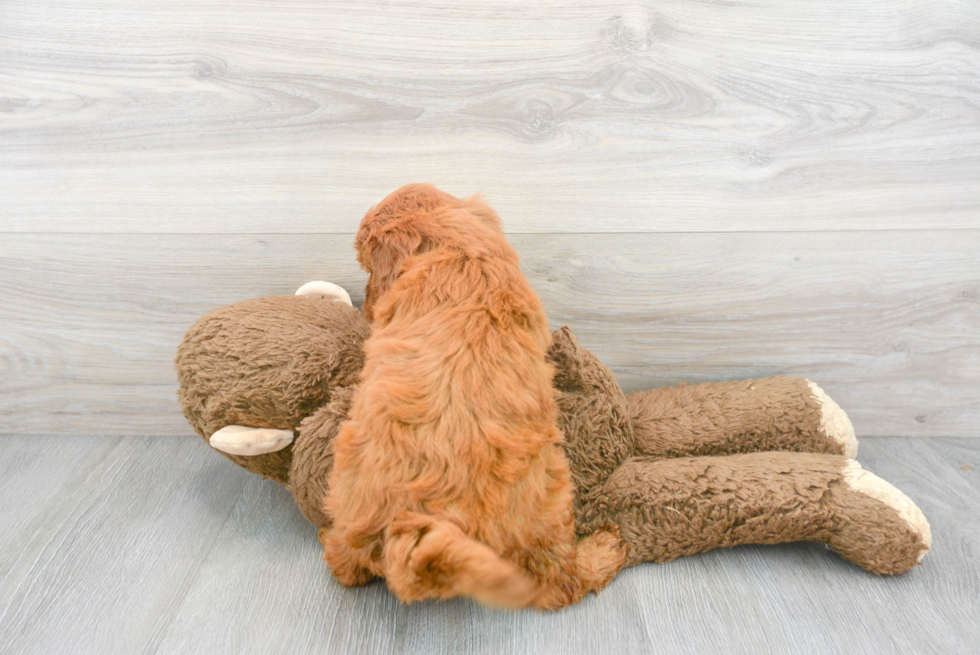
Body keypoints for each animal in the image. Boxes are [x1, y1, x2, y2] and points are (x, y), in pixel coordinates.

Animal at [322, 184, 628, 608]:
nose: (366, 306)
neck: (456, 248)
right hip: (550, 492)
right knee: (560, 582)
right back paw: (606, 548)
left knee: (346, 564)